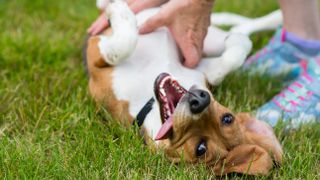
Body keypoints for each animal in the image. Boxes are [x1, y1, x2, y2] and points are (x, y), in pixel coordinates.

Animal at [85, 0, 282, 176]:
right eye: (227, 118)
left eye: (201, 149)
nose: (200, 100)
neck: (148, 99)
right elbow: (234, 54)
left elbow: (123, 44)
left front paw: (119, 12)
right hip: (207, 38)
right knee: (238, 30)